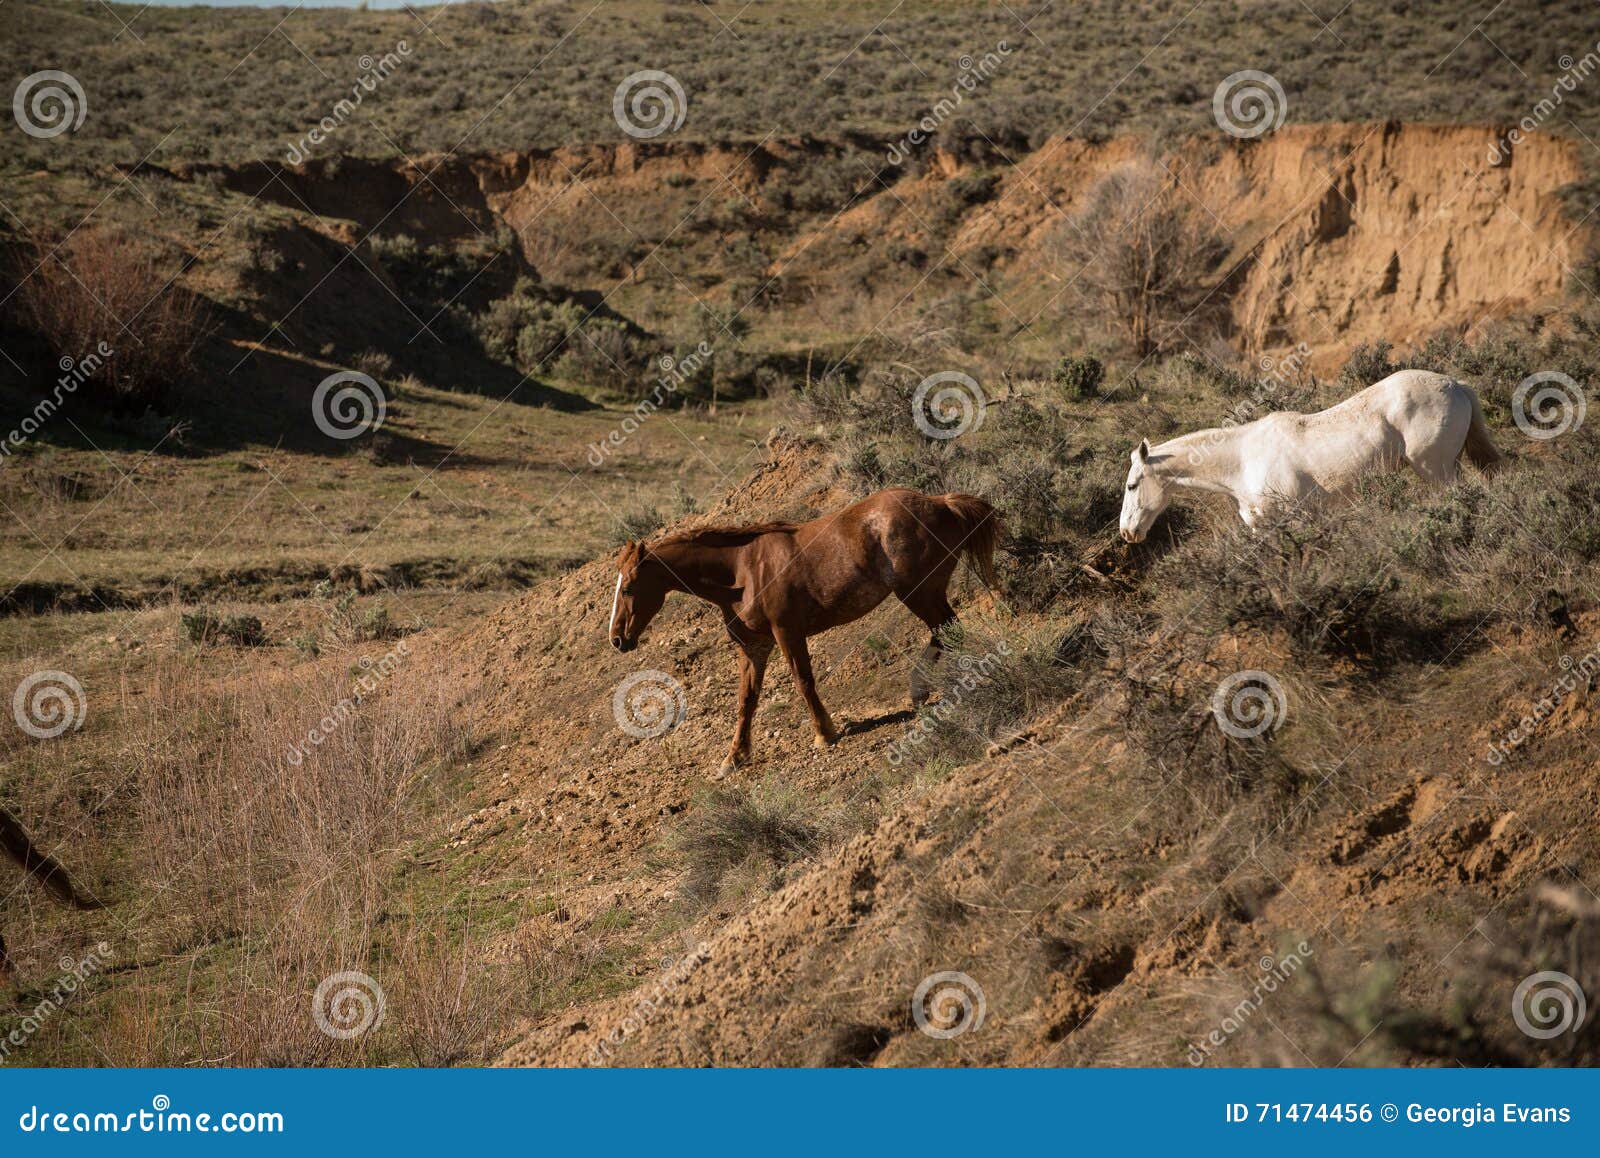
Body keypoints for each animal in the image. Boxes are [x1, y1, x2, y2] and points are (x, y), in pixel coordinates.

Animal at [609, 487, 1001, 776]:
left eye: (627, 587)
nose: (617, 640)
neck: (740, 572)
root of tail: (942, 502)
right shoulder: (754, 646)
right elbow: (746, 699)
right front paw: (733, 758)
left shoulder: (787, 633)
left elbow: (802, 681)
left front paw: (824, 734)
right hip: (923, 593)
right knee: (947, 631)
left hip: (918, 592)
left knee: (948, 630)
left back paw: (930, 688)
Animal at [1119, 369, 1502, 543]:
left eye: (1132, 485)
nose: (1126, 532)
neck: (1243, 460)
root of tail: (1455, 385)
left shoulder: (1294, 520)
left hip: (1437, 471)